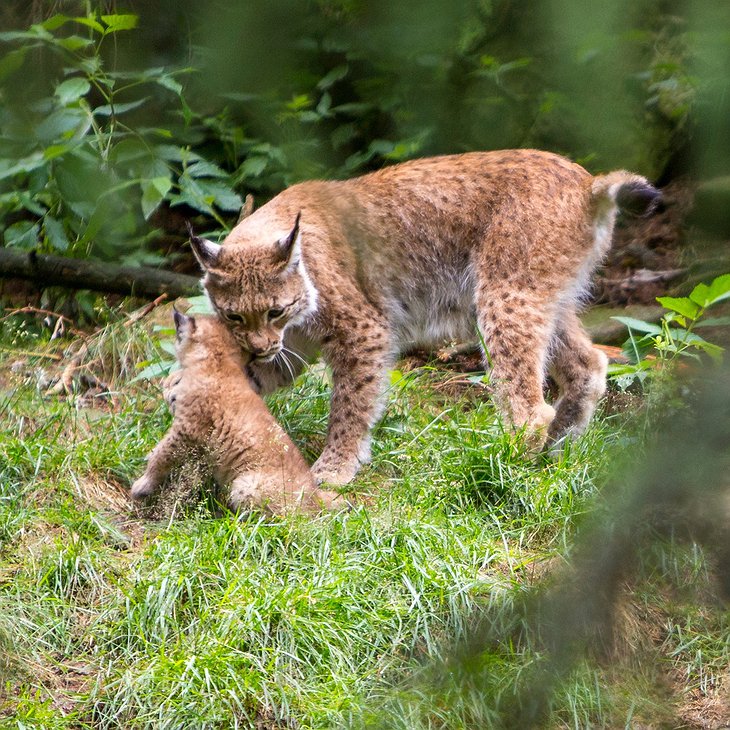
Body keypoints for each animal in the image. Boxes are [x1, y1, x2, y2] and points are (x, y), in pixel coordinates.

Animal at [129, 308, 340, 512]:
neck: (220, 361)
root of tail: (316, 497)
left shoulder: (187, 428)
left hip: (245, 484)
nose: (167, 388)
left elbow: (161, 454)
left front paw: (143, 484)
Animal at [185, 148, 656, 484]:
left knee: (527, 402)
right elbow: (248, 380)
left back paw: (510, 464)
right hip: (544, 296)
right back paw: (560, 449)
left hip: (502, 296)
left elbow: (350, 404)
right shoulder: (295, 345)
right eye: (233, 317)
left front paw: (335, 468)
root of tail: (587, 181)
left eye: (274, 310)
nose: (260, 348)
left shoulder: (366, 329)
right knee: (590, 363)